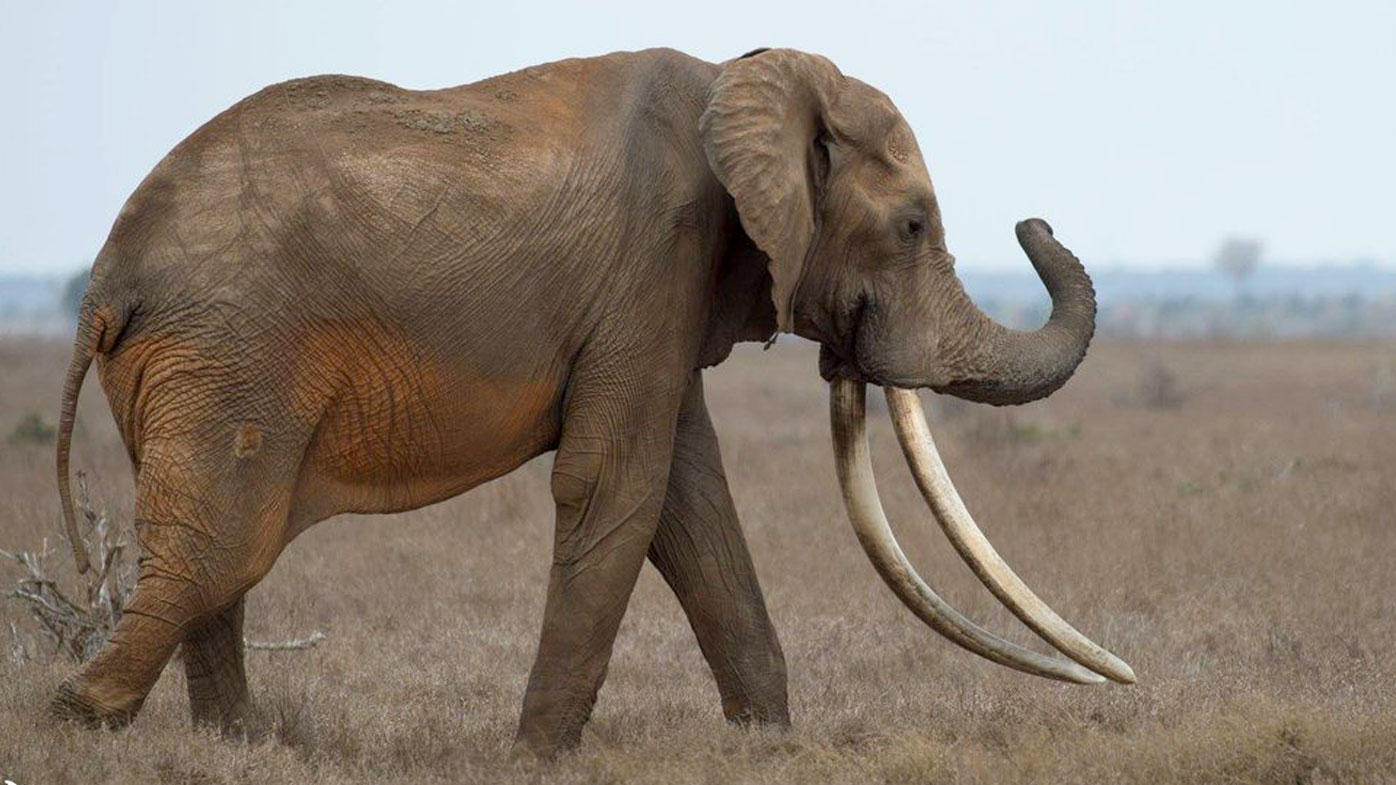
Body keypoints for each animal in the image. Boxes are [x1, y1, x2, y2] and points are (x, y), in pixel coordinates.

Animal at [52, 46, 1132, 755]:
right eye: (911, 224)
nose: (1035, 220)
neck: (743, 75)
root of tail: (109, 275)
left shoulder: (666, 297)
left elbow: (693, 501)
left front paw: (768, 744)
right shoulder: (656, 260)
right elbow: (618, 484)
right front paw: (535, 756)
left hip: (202, 363)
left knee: (219, 549)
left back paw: (236, 747)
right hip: (227, 352)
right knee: (220, 545)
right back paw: (80, 719)